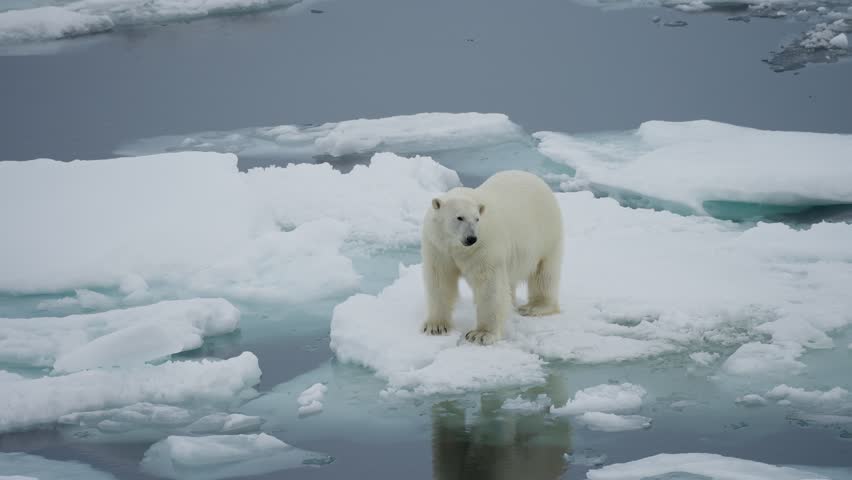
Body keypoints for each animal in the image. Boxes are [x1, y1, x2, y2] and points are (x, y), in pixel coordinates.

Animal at [421, 170, 563, 345]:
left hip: (546, 233)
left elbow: (489, 285)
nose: (471, 238)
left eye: (477, 219)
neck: (456, 247)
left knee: (544, 273)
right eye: (459, 217)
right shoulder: (437, 246)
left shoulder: (484, 247)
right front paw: (436, 326)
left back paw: (535, 306)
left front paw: (480, 334)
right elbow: (440, 279)